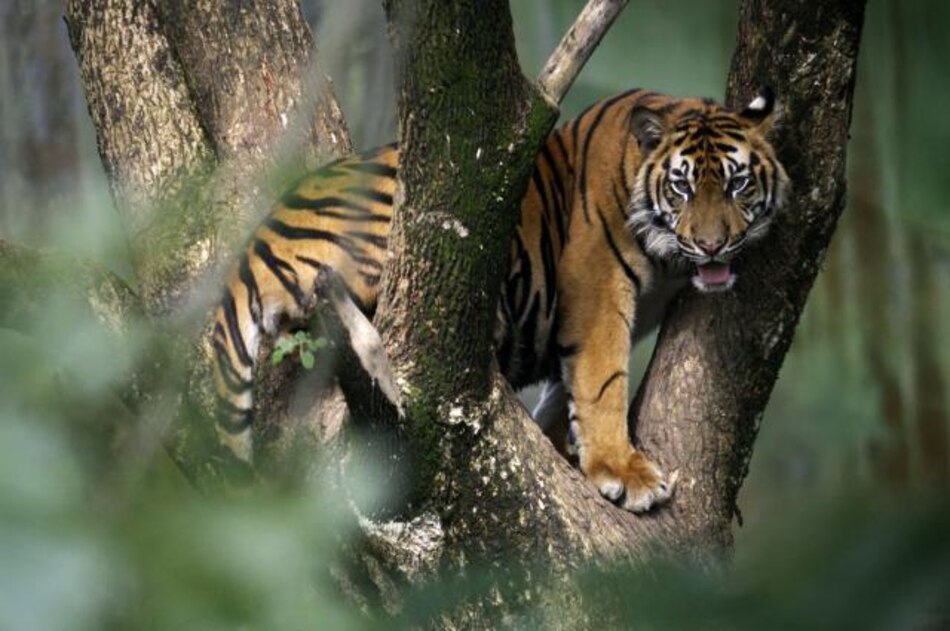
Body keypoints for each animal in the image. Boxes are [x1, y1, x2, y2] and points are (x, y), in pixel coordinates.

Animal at [211, 88, 789, 513]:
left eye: (737, 185)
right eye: (682, 188)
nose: (712, 245)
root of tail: (253, 247)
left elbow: (565, 393)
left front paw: (575, 454)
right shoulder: (595, 289)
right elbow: (601, 382)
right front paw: (623, 471)